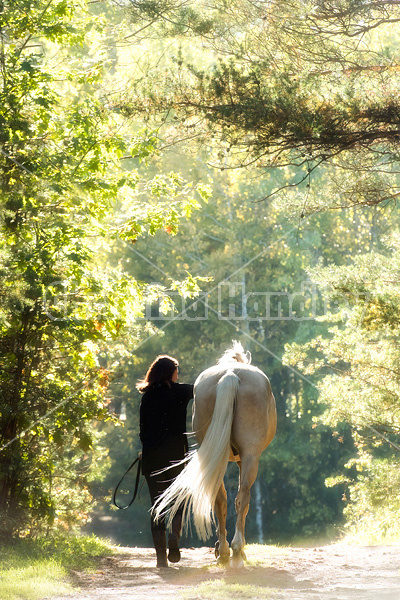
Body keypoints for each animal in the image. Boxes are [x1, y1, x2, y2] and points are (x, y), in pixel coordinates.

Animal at [152, 342, 276, 564]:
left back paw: (224, 551)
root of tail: (230, 374)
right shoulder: (242, 459)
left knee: (220, 498)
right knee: (241, 497)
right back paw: (236, 549)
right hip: (250, 455)